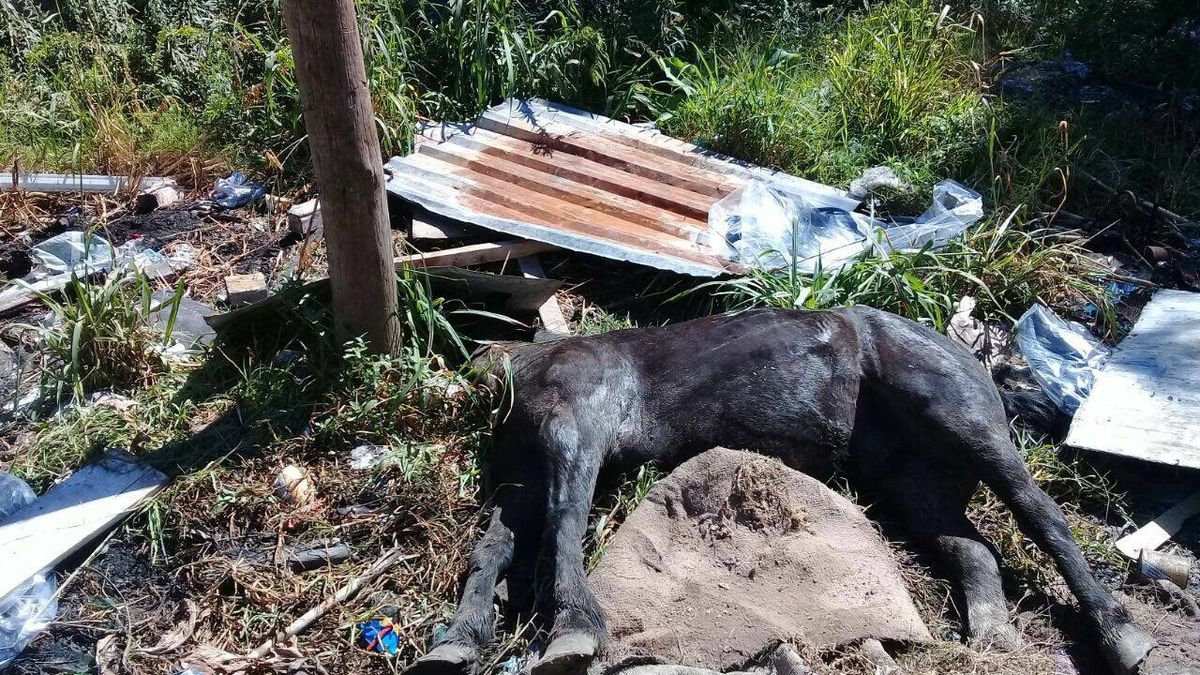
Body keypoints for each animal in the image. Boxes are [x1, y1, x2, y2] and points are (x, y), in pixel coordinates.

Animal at [410, 306, 1152, 672]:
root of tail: (975, 356)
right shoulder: (524, 472)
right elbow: (495, 546)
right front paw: (457, 641)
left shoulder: (578, 426)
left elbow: (563, 523)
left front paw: (572, 633)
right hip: (913, 482)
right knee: (974, 550)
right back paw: (993, 639)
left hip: (964, 423)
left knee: (1042, 515)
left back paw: (1120, 633)